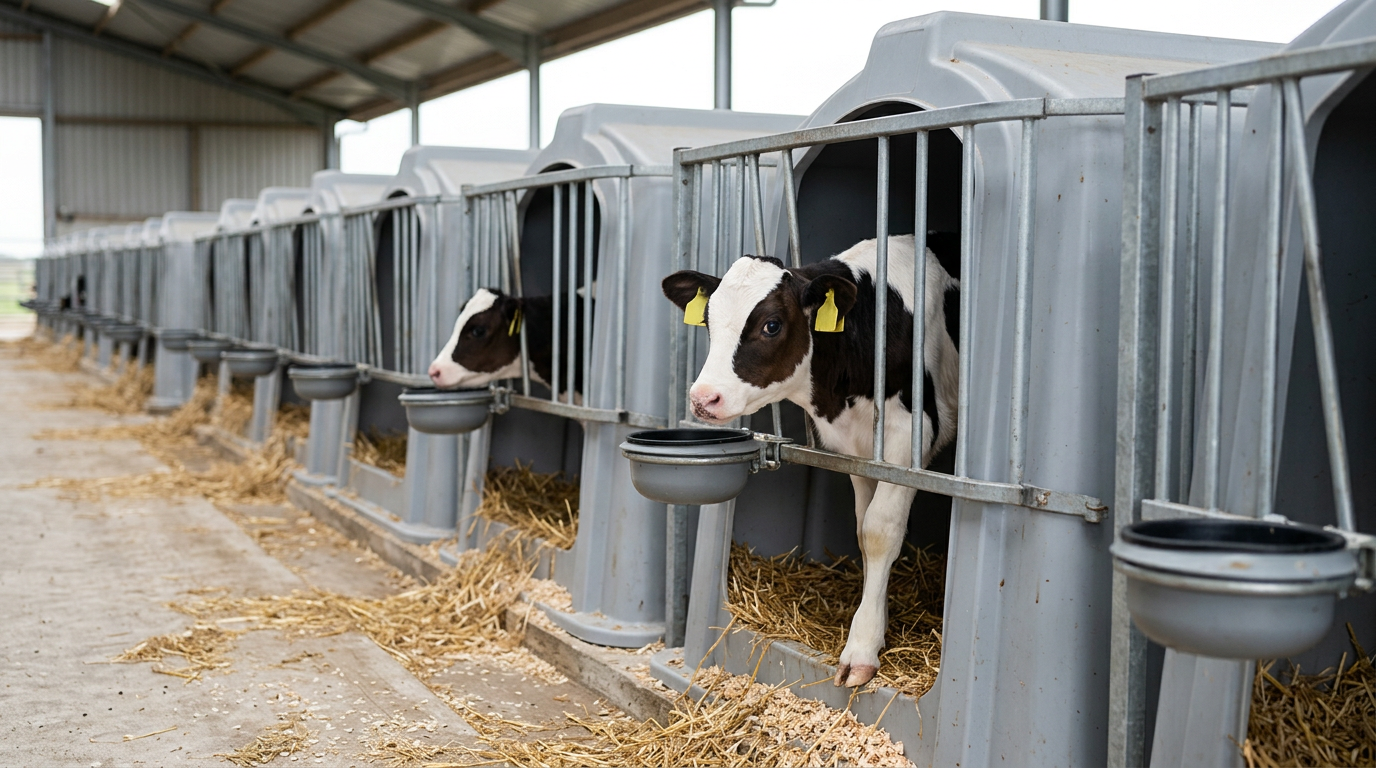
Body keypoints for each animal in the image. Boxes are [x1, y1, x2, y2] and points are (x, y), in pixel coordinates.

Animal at [661, 233, 960, 688]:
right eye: (708, 320)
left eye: (771, 324)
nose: (703, 398)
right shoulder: (857, 450)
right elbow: (863, 528)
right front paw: (877, 620)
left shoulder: (910, 434)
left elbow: (880, 530)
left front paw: (862, 648)